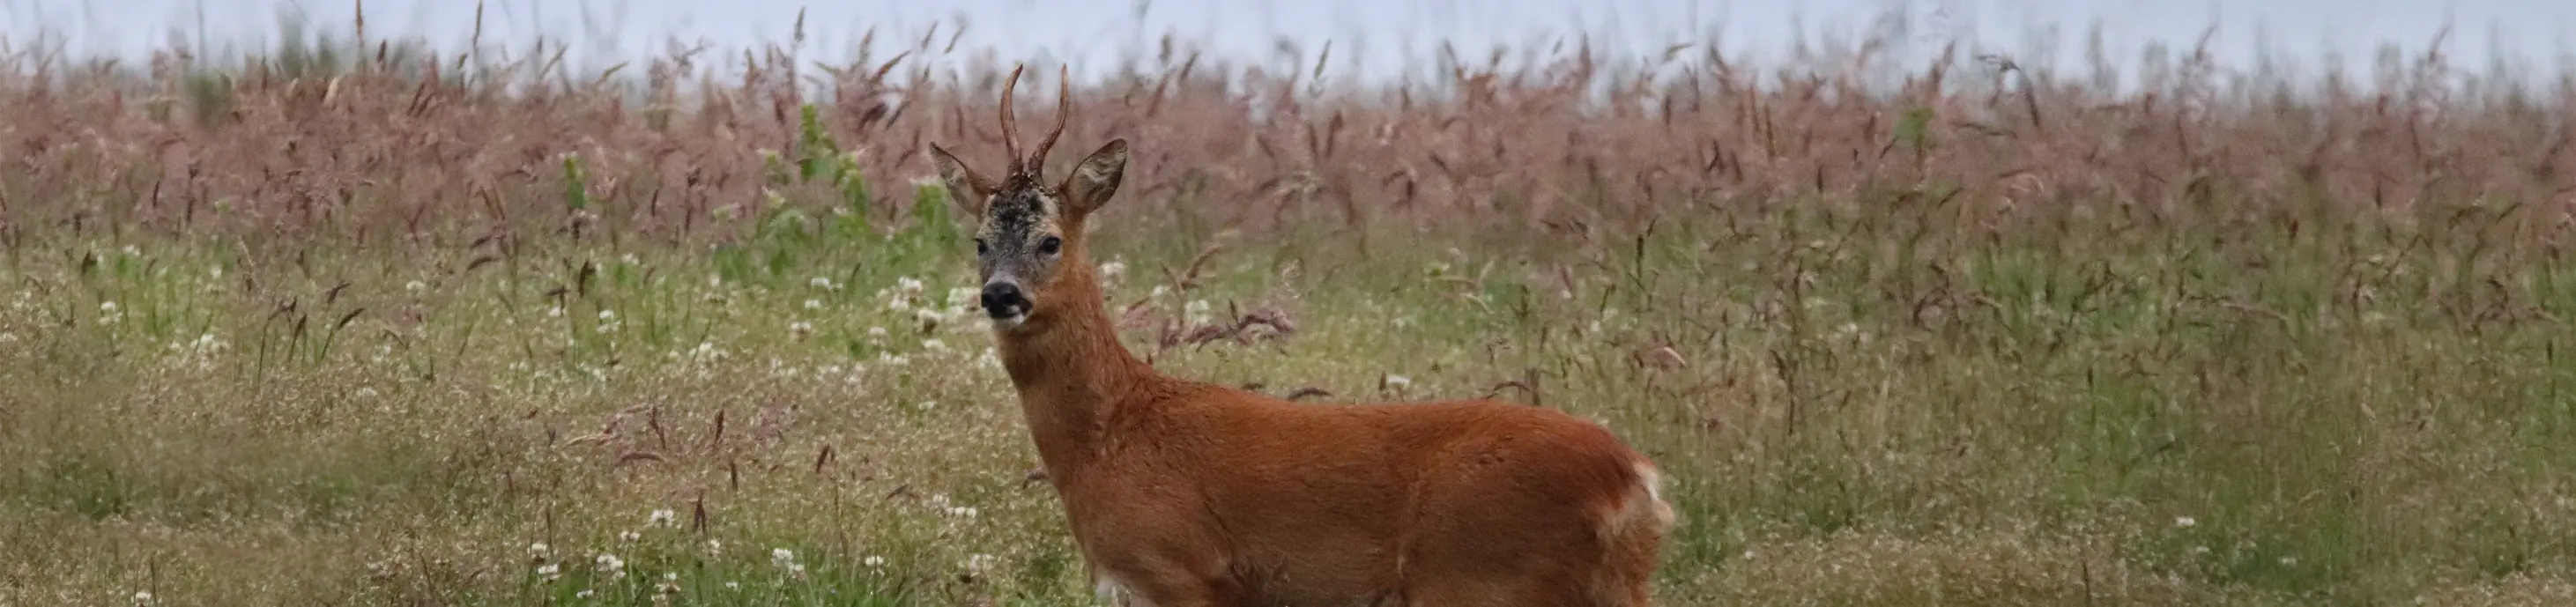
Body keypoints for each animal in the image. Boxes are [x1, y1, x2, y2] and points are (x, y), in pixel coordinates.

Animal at [924, 65, 1677, 607]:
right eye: (980, 241)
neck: (1110, 437)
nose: (1000, 294)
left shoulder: (1180, 567)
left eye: (1050, 240)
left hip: (1484, 574)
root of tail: (1635, 480)